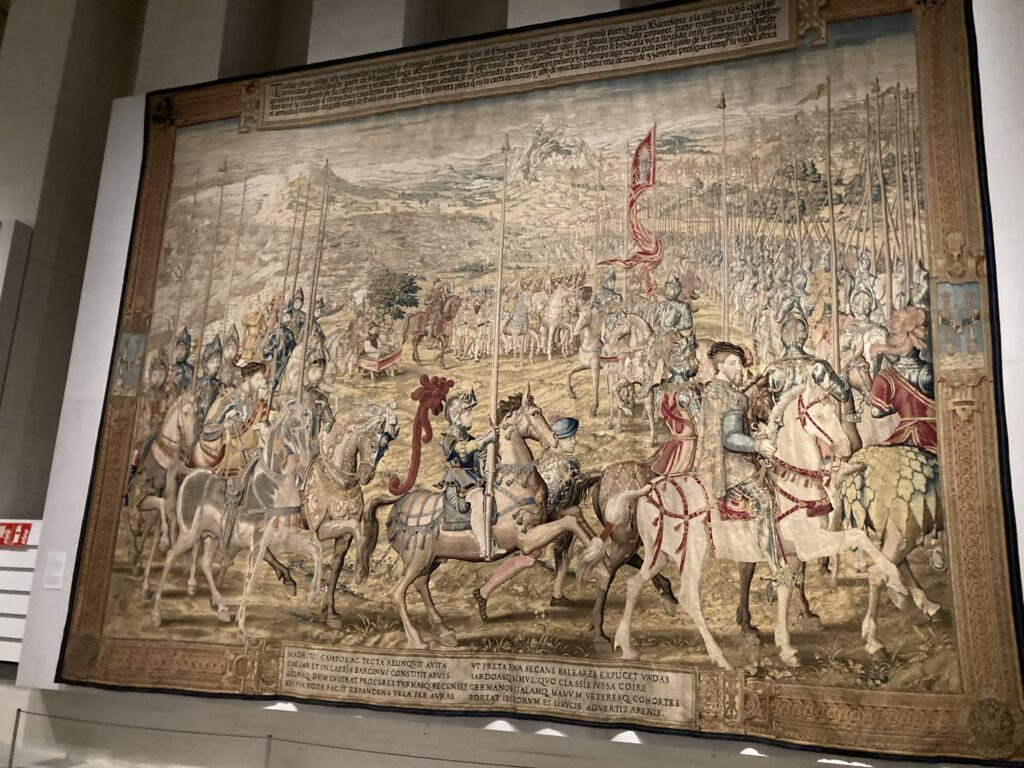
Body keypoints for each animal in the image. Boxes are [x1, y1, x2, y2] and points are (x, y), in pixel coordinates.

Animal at [150, 406, 320, 633]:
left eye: (308, 424)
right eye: (292, 427)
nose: (305, 458)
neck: (277, 487)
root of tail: (191, 474)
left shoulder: (285, 539)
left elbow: (317, 551)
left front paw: (307, 600)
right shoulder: (258, 542)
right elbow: (251, 576)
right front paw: (241, 626)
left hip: (213, 537)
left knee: (205, 563)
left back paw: (222, 608)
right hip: (190, 534)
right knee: (170, 557)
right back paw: (156, 614)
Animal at [302, 402, 400, 628]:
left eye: (385, 450)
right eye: (372, 445)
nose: (366, 477)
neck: (337, 479)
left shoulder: (343, 535)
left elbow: (336, 567)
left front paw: (330, 612)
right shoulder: (321, 529)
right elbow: (358, 531)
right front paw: (360, 571)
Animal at [365, 388, 605, 649]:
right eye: (534, 413)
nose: (553, 440)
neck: (516, 484)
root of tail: (396, 508)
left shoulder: (543, 521)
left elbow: (574, 515)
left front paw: (601, 555)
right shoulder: (526, 539)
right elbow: (568, 523)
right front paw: (597, 558)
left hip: (432, 559)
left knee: (421, 585)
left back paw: (445, 632)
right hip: (417, 560)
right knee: (397, 593)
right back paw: (417, 640)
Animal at [611, 376, 908, 669]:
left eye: (834, 412)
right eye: (818, 414)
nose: (847, 447)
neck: (793, 482)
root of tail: (648, 490)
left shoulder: (791, 554)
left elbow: (787, 586)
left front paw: (786, 647)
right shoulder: (811, 543)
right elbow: (858, 536)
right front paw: (896, 583)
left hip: (659, 554)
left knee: (634, 584)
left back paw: (626, 646)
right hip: (693, 556)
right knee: (689, 598)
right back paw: (720, 657)